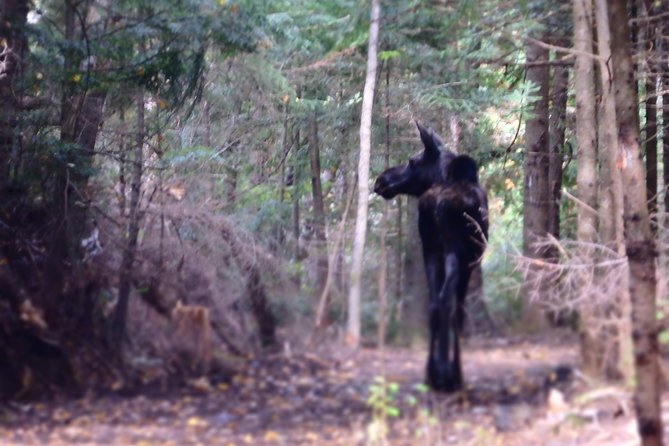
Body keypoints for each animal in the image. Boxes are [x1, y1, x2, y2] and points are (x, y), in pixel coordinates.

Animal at [374, 123, 488, 392]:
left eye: (412, 161)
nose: (380, 180)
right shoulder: (471, 260)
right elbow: (459, 309)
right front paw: (454, 373)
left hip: (431, 250)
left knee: (434, 303)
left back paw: (431, 374)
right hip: (455, 251)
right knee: (446, 301)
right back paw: (450, 375)